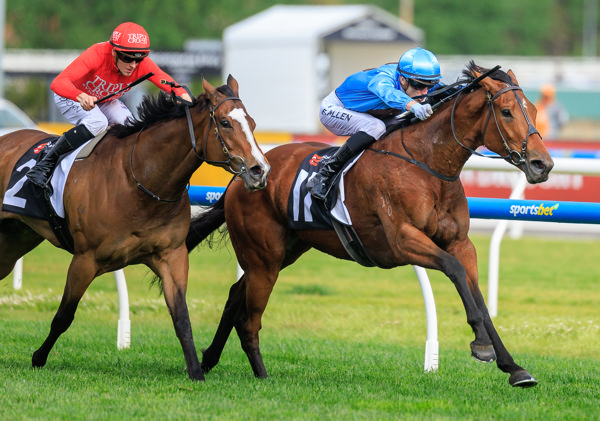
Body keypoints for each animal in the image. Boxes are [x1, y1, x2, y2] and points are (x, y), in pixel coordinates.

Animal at [0, 75, 270, 380]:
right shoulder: (85, 259)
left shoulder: (171, 256)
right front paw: (38, 357)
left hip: (16, 239)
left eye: (252, 123)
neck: (139, 180)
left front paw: (196, 372)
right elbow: (63, 316)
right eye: (225, 123)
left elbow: (182, 319)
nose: (260, 170)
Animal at [186, 62, 552, 388]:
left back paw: (208, 359)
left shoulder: (461, 242)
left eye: (533, 110)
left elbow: (478, 295)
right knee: (248, 315)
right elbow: (455, 271)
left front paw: (513, 367)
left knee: (236, 294)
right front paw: (481, 346)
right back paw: (258, 374)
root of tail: (245, 174)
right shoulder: (403, 241)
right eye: (506, 111)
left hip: (283, 251)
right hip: (264, 256)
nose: (542, 164)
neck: (428, 164)